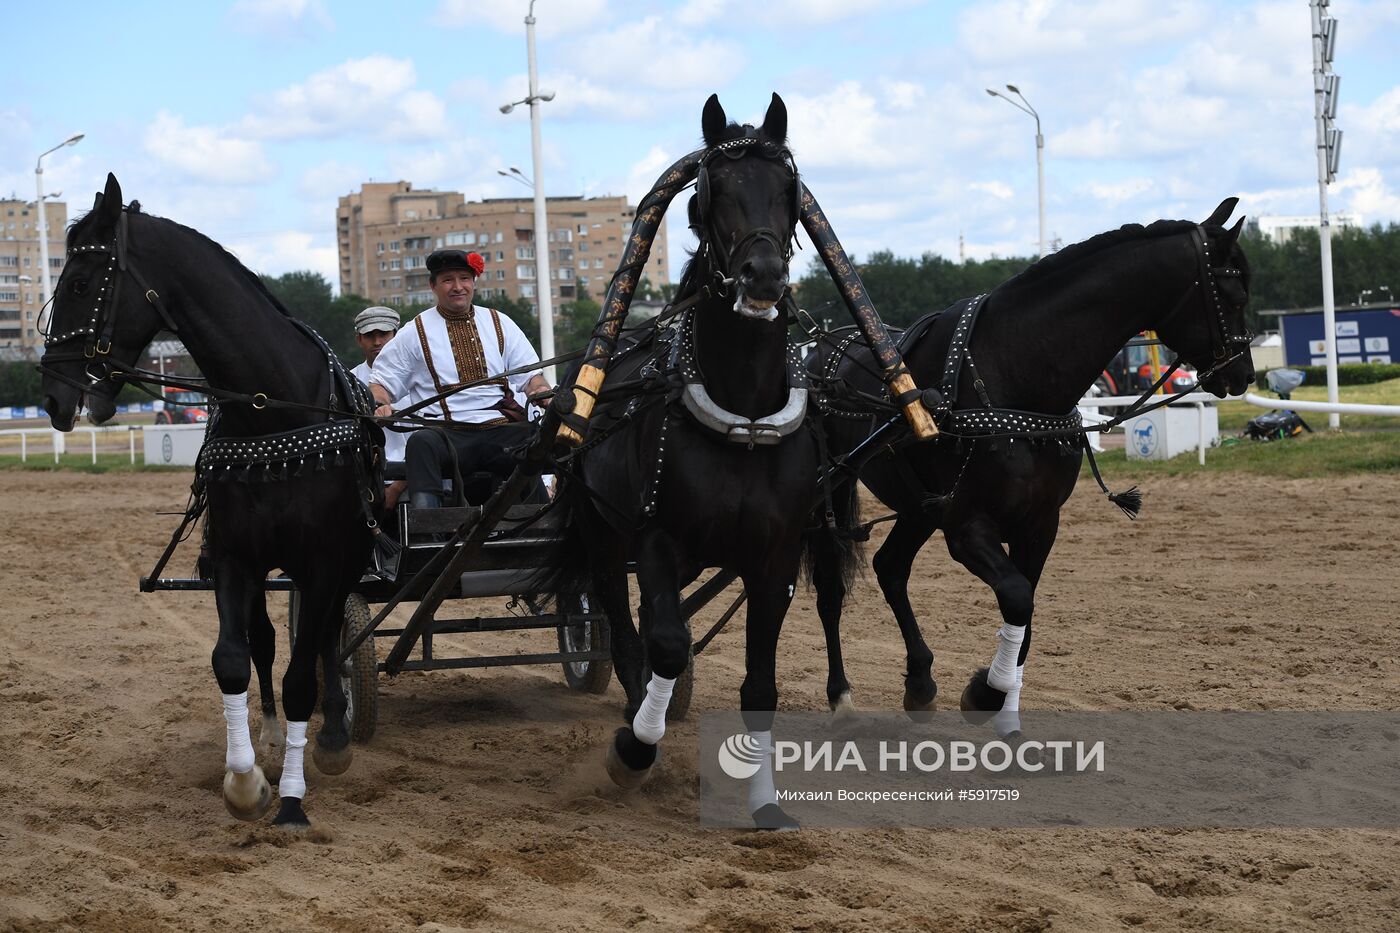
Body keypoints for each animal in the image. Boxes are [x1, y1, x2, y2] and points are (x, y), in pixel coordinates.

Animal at [39, 172, 378, 823]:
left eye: (79, 282)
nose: (50, 397)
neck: (272, 409)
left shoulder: (324, 563)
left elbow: (306, 672)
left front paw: (293, 797)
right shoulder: (235, 558)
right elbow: (232, 659)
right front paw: (246, 781)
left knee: (327, 640)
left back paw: (331, 737)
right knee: (265, 642)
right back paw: (271, 734)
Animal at [546, 94, 812, 823]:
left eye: (788, 190)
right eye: (709, 194)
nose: (763, 275)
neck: (741, 418)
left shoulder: (775, 559)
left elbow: (760, 682)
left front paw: (765, 802)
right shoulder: (657, 539)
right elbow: (664, 642)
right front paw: (635, 748)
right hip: (605, 535)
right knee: (622, 622)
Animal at [812, 200, 1260, 728]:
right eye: (1234, 291)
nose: (1243, 373)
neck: (1011, 378)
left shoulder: (1040, 523)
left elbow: (1025, 614)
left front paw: (1006, 713)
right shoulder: (966, 526)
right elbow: (1016, 596)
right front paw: (985, 693)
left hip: (919, 507)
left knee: (890, 567)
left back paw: (920, 682)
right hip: (827, 496)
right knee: (830, 590)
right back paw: (840, 694)